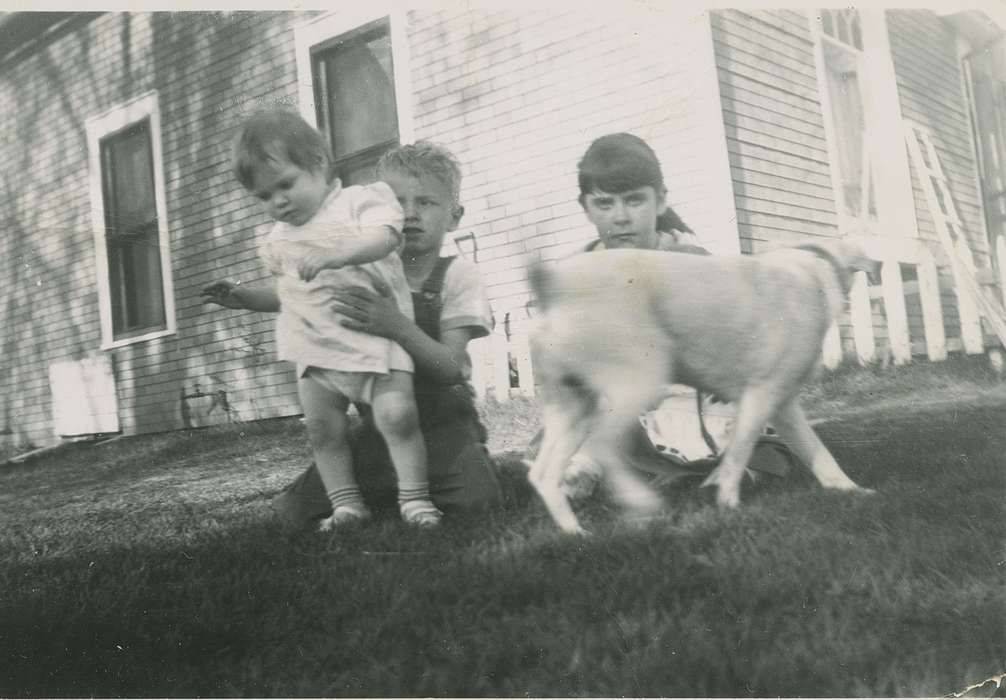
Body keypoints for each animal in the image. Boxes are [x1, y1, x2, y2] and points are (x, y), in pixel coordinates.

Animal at [531, 242, 877, 535]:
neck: (812, 270)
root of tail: (550, 284)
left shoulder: (783, 406)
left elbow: (818, 452)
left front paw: (850, 489)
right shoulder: (761, 395)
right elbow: (738, 453)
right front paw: (727, 500)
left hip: (574, 408)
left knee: (543, 473)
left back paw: (575, 532)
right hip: (638, 384)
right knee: (603, 446)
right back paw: (641, 500)